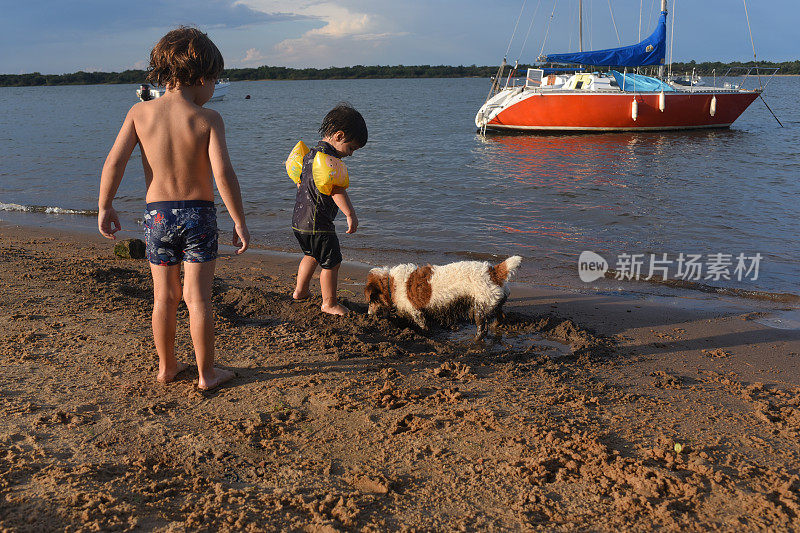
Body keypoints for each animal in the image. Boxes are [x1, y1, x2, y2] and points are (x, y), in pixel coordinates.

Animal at [366, 256, 520, 338]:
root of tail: (493, 272)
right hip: (492, 302)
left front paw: (426, 334)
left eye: (372, 300)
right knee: (500, 316)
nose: (368, 315)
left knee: (482, 329)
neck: (391, 283)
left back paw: (476, 339)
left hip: (480, 307)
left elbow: (423, 324)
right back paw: (495, 326)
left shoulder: (416, 311)